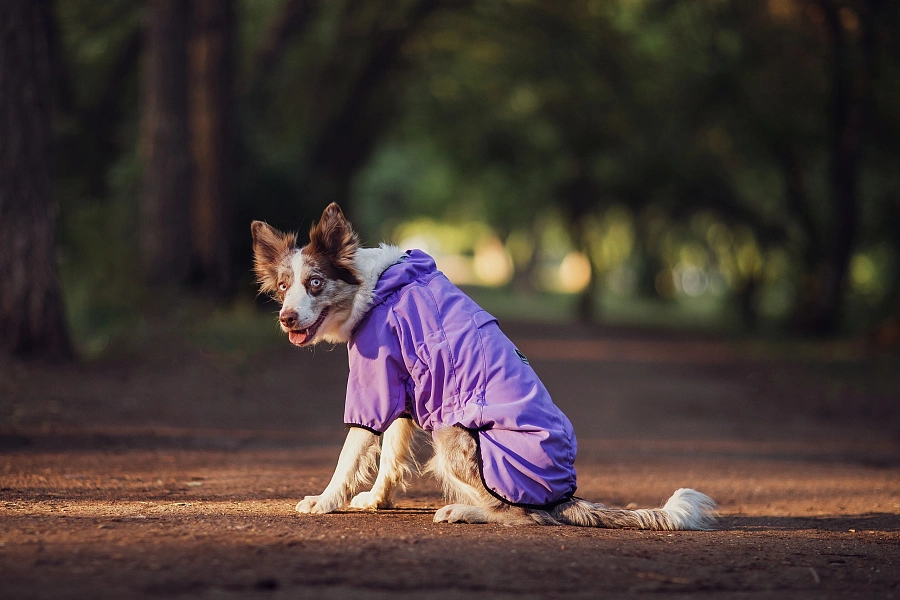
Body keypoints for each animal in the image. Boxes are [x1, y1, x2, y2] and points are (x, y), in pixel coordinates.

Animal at [248, 203, 716, 528]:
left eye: (315, 283)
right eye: (284, 286)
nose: (286, 317)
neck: (375, 289)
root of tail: (562, 496)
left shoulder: (376, 381)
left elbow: (351, 451)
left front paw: (324, 501)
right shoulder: (405, 386)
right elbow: (391, 454)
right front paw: (377, 500)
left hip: (454, 433)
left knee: (526, 516)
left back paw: (465, 511)